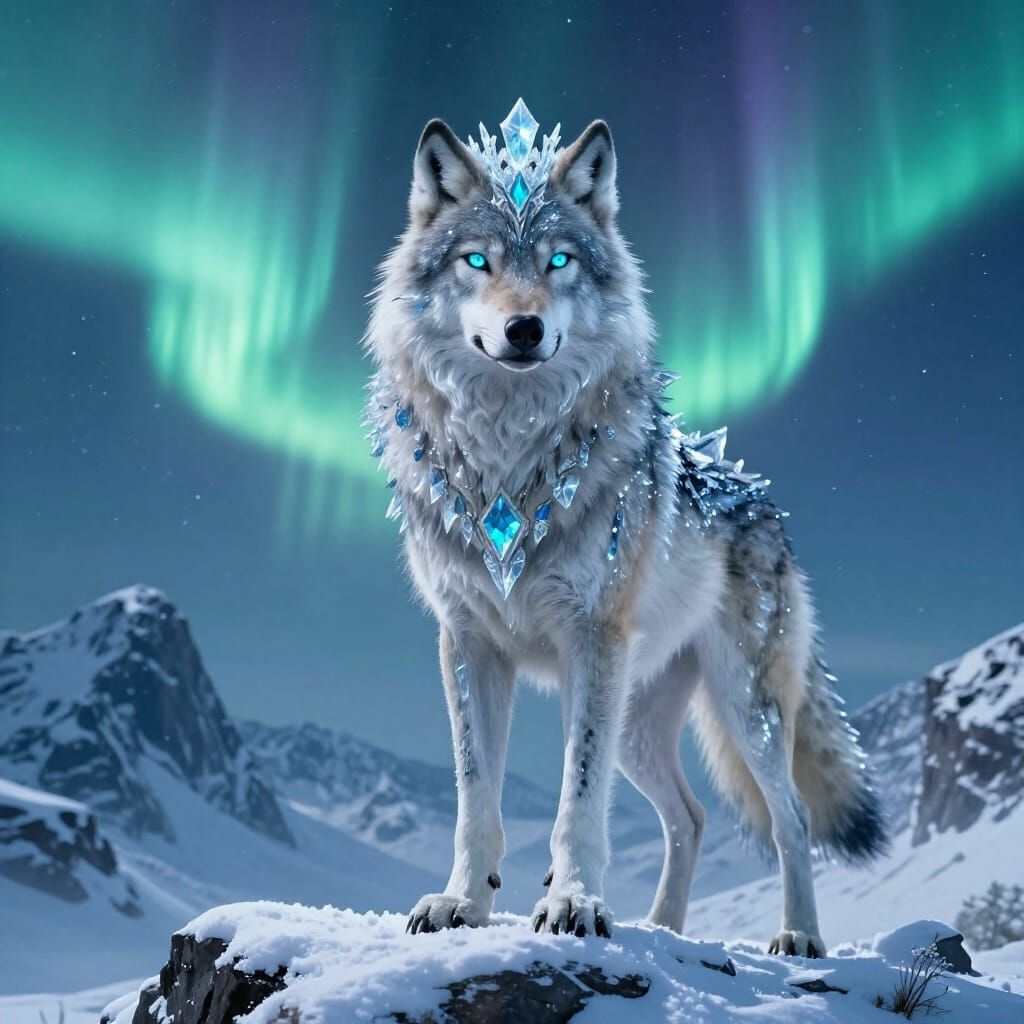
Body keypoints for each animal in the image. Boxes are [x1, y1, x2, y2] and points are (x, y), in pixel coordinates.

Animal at [364, 100, 885, 956]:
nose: (524, 329)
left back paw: (799, 938)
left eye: (559, 261)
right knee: (692, 818)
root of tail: (765, 501)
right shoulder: (467, 642)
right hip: (640, 725)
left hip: (737, 708)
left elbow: (577, 802)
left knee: (792, 820)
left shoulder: (590, 642)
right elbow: (477, 801)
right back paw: (664, 928)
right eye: (476, 262)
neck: (509, 460)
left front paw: (573, 904)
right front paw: (462, 904)